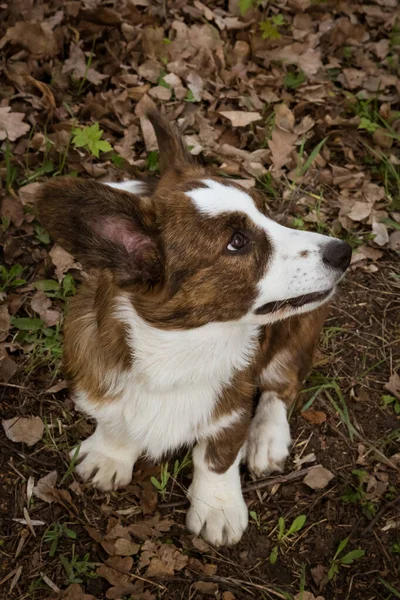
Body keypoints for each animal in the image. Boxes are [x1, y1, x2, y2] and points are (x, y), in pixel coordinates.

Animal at [36, 110, 350, 548]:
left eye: (267, 214)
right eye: (237, 242)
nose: (344, 251)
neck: (179, 352)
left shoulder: (231, 410)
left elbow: (217, 456)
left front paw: (217, 508)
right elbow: (116, 423)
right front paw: (109, 456)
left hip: (297, 331)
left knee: (281, 386)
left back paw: (267, 439)